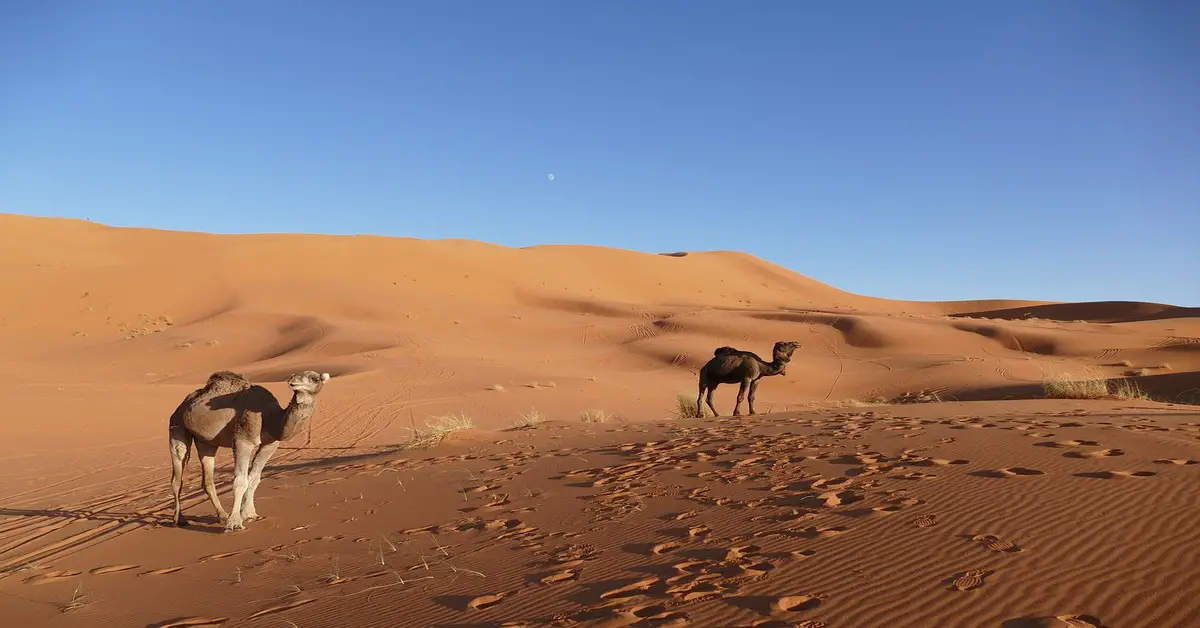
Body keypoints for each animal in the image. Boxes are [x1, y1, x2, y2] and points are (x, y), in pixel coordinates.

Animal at [168, 372, 328, 533]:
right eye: (295, 375)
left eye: (315, 379)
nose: (293, 382)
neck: (271, 419)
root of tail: (182, 406)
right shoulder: (242, 441)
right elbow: (240, 482)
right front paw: (234, 523)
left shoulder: (270, 444)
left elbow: (254, 479)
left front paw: (250, 514)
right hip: (177, 426)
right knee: (177, 472)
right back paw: (180, 519)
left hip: (206, 442)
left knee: (207, 478)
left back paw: (222, 516)